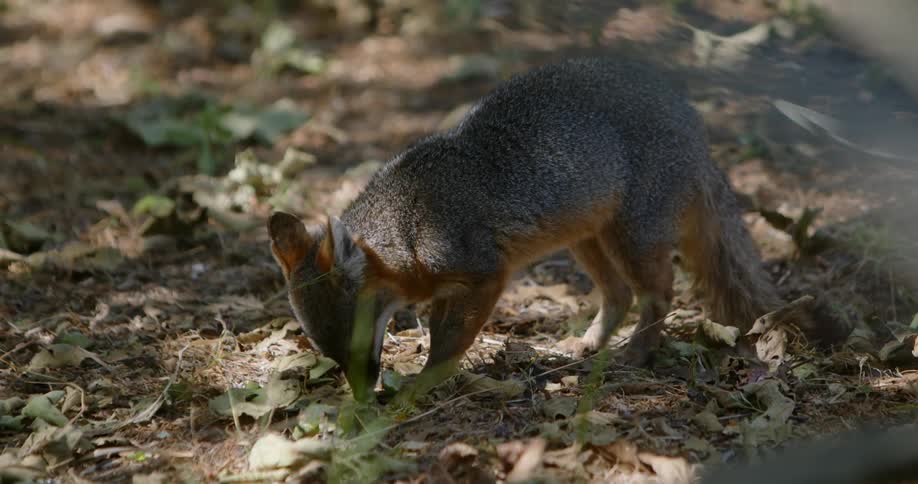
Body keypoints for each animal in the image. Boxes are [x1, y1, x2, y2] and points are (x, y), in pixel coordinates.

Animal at [268, 57, 784, 398]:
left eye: (351, 337)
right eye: (325, 346)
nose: (360, 397)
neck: (411, 225)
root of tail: (695, 128)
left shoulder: (485, 278)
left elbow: (446, 348)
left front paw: (419, 387)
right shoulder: (449, 290)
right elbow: (440, 337)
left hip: (631, 239)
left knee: (659, 292)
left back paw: (637, 354)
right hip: (585, 241)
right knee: (618, 294)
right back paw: (589, 343)